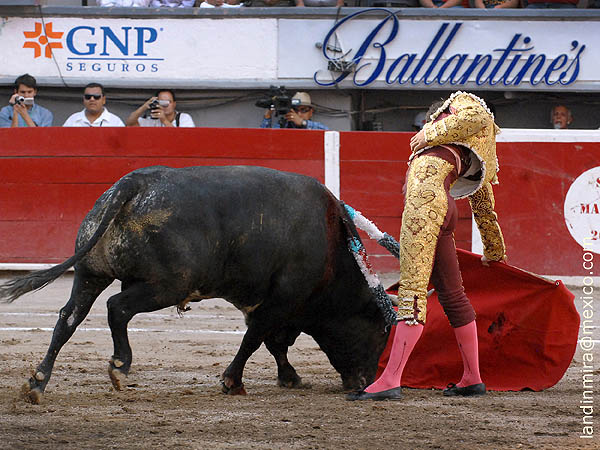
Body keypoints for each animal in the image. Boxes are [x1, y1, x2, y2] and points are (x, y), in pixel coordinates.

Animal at [0, 166, 392, 404]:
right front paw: (233, 382)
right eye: (379, 332)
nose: (365, 383)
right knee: (117, 308)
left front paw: (289, 378)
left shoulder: (271, 306)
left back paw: (37, 382)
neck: (333, 248)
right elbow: (257, 340)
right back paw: (120, 367)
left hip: (91, 273)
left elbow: (274, 343)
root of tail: (135, 183)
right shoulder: (280, 302)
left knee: (68, 318)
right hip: (167, 285)